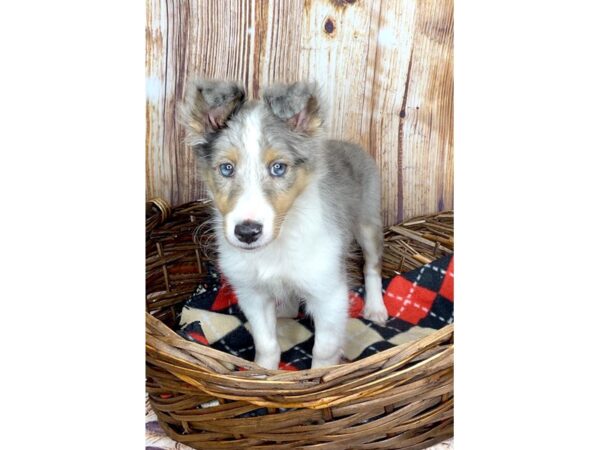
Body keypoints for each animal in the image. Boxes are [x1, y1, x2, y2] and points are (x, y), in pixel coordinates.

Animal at [180, 81, 390, 370]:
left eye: (278, 168)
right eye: (226, 169)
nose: (247, 233)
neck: (276, 246)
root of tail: (348, 144)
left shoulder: (330, 294)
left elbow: (324, 349)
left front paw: (318, 376)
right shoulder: (251, 294)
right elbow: (266, 344)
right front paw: (264, 372)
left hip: (368, 222)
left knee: (372, 265)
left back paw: (376, 308)